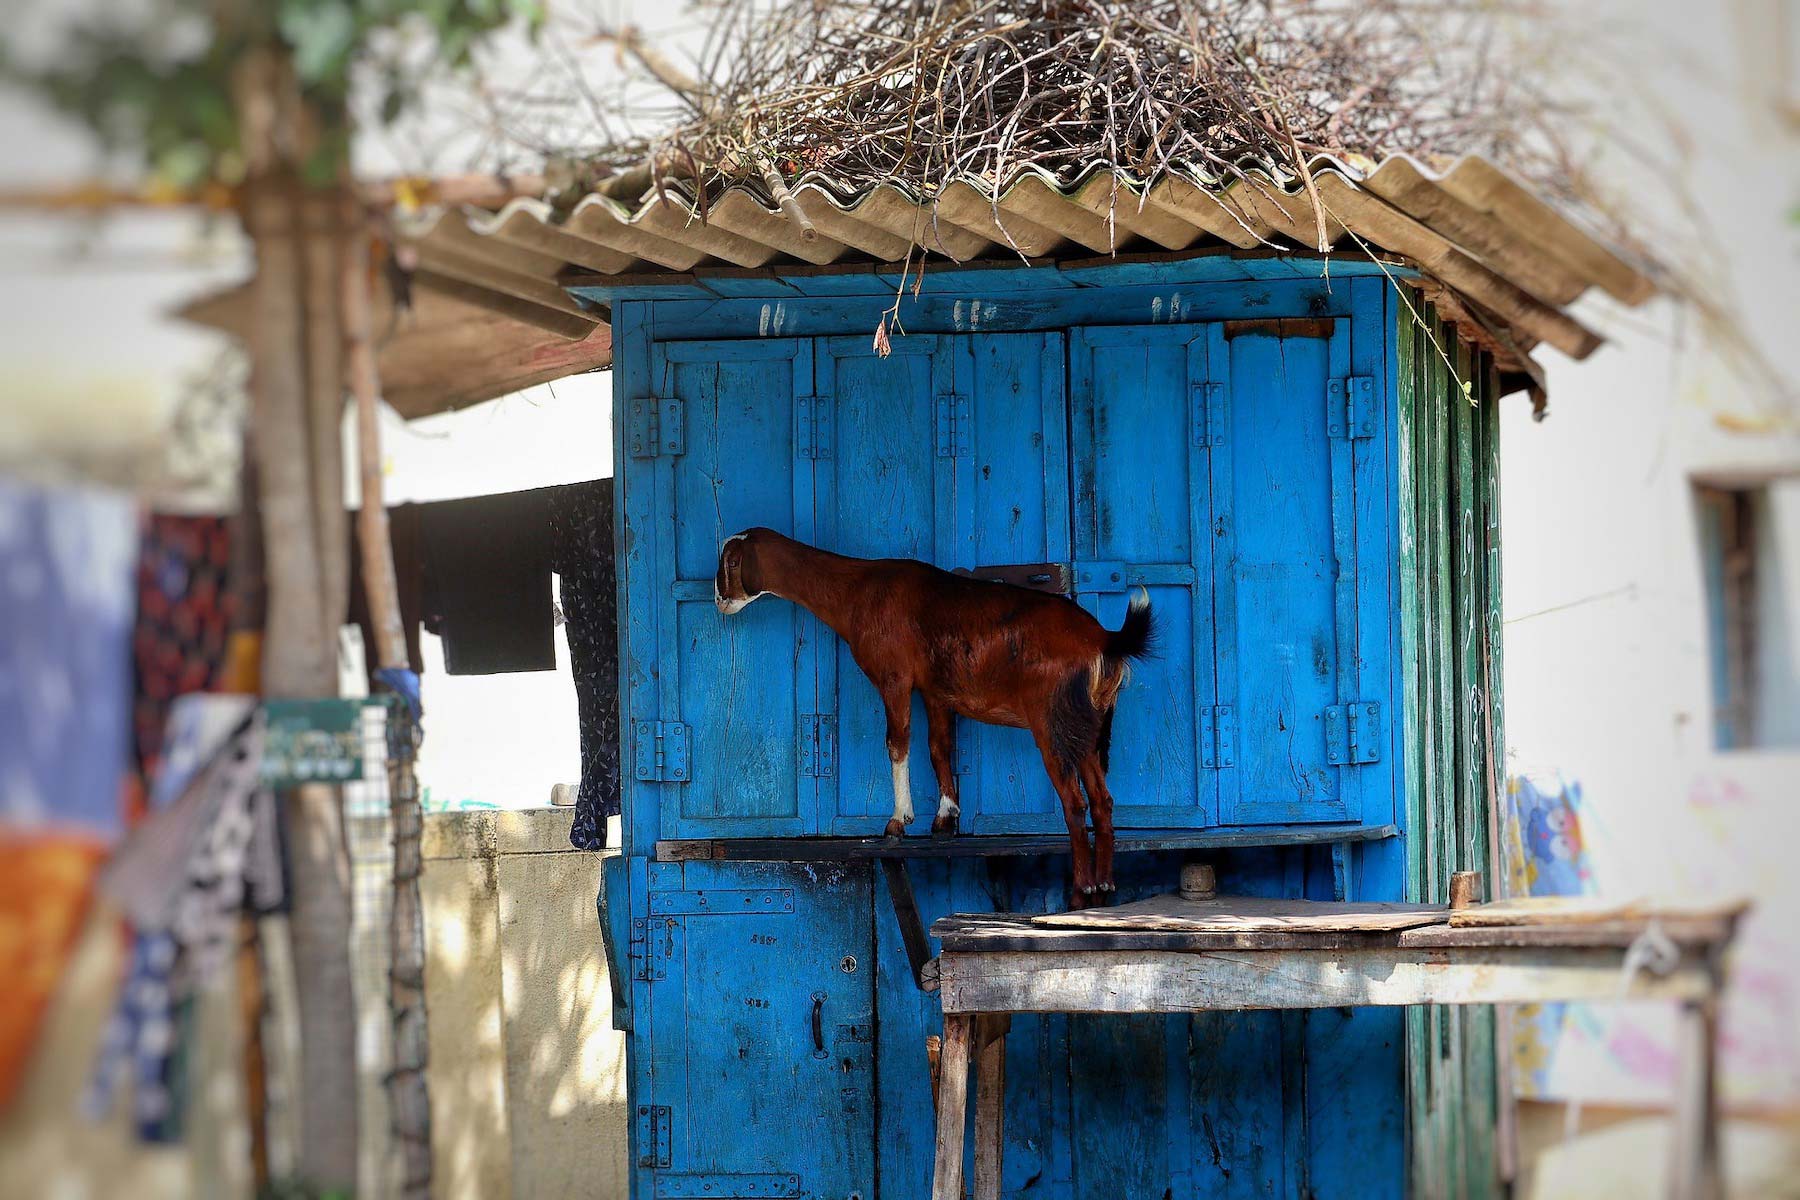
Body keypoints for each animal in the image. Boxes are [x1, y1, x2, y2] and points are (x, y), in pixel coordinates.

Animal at [716, 528, 1152, 899]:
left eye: (731, 561)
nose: (719, 599)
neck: (856, 590)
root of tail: (1106, 639)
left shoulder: (894, 677)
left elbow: (898, 742)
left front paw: (897, 823)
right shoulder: (936, 692)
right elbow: (939, 746)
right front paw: (945, 820)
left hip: (1052, 722)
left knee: (1075, 804)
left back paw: (1085, 885)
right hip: (1089, 726)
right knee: (1102, 800)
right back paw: (1106, 881)